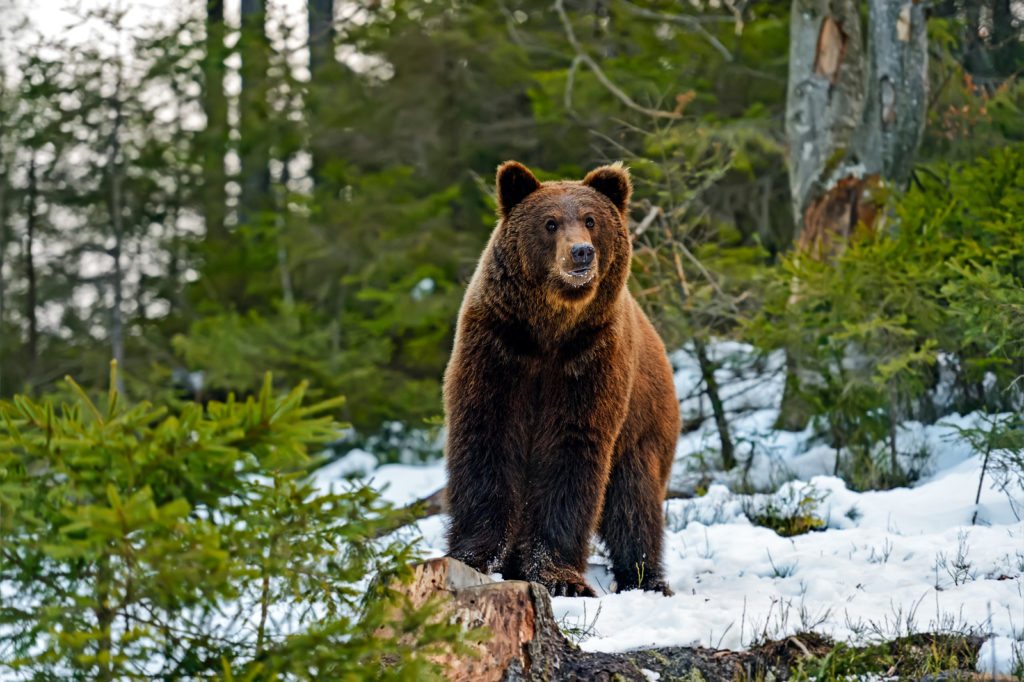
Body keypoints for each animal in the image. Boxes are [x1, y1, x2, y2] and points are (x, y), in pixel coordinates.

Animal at [443, 161, 680, 597]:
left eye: (591, 219)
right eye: (550, 223)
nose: (581, 252)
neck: (549, 330)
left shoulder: (589, 359)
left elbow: (571, 453)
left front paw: (559, 577)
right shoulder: (499, 348)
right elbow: (487, 439)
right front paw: (477, 557)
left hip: (643, 429)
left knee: (634, 504)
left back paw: (646, 579)